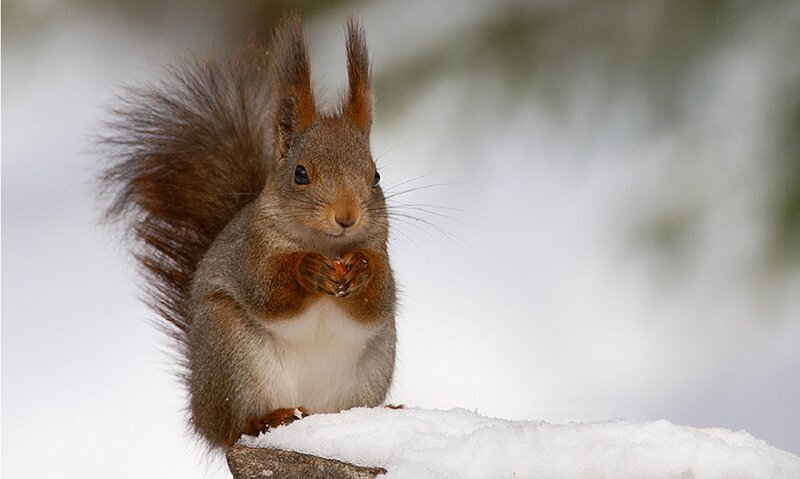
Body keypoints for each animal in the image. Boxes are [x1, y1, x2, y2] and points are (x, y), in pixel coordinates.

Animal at [100, 17, 396, 449]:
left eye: (375, 176)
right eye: (301, 174)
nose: (347, 218)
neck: (325, 245)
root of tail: (203, 413)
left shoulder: (382, 253)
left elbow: (378, 298)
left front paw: (360, 269)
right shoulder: (250, 253)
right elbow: (268, 291)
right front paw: (307, 269)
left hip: (376, 360)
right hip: (232, 353)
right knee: (235, 426)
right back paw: (268, 418)